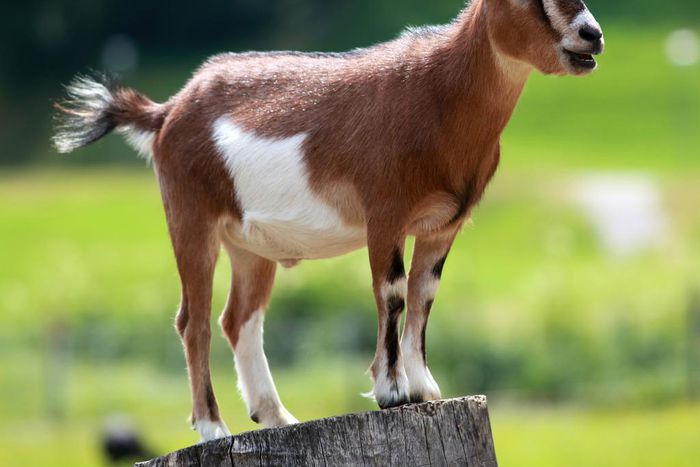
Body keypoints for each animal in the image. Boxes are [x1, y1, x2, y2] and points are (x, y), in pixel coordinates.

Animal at [53, 0, 604, 441]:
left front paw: (426, 388)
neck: (438, 95)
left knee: (238, 318)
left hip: (248, 245)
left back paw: (276, 417)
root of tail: (165, 111)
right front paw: (392, 392)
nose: (591, 34)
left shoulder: (442, 226)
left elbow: (425, 294)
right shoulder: (385, 214)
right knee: (194, 321)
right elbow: (393, 292)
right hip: (191, 217)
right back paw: (213, 427)